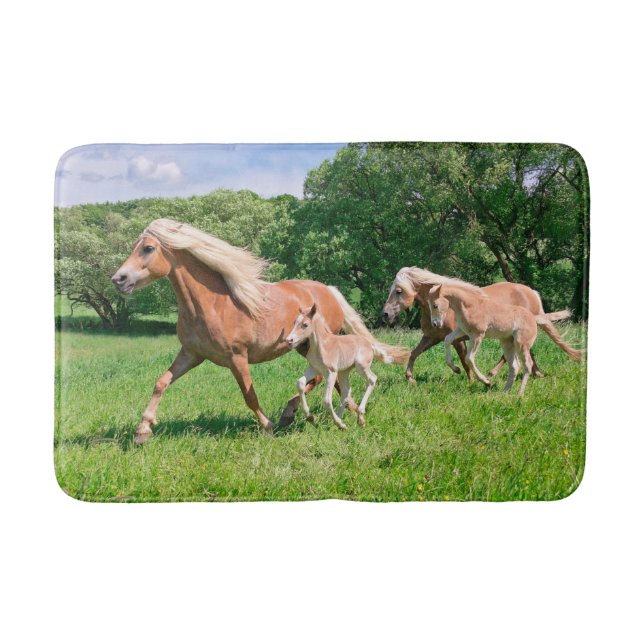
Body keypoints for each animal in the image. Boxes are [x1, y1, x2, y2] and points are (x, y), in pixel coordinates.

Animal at [111, 218, 408, 444]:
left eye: (148, 248)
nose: (118, 279)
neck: (212, 305)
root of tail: (329, 290)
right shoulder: (191, 354)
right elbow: (161, 383)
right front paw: (143, 430)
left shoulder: (236, 358)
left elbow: (250, 396)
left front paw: (267, 427)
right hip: (305, 346)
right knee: (331, 381)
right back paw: (345, 410)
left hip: (313, 345)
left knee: (321, 379)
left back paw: (296, 414)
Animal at [381, 267, 572, 383]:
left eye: (398, 291)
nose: (385, 314)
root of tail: (531, 292)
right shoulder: (432, 337)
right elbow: (414, 353)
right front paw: (410, 378)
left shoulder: (458, 339)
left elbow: (464, 361)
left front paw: (467, 377)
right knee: (527, 352)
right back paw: (536, 373)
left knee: (513, 355)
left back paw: (493, 373)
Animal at [427, 282, 584, 396]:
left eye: (435, 305)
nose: (435, 324)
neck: (470, 305)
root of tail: (534, 317)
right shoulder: (461, 331)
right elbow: (447, 340)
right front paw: (455, 368)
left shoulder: (477, 335)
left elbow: (469, 358)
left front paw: (486, 382)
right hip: (507, 343)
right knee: (515, 366)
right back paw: (505, 391)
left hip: (521, 344)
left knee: (527, 365)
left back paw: (519, 393)